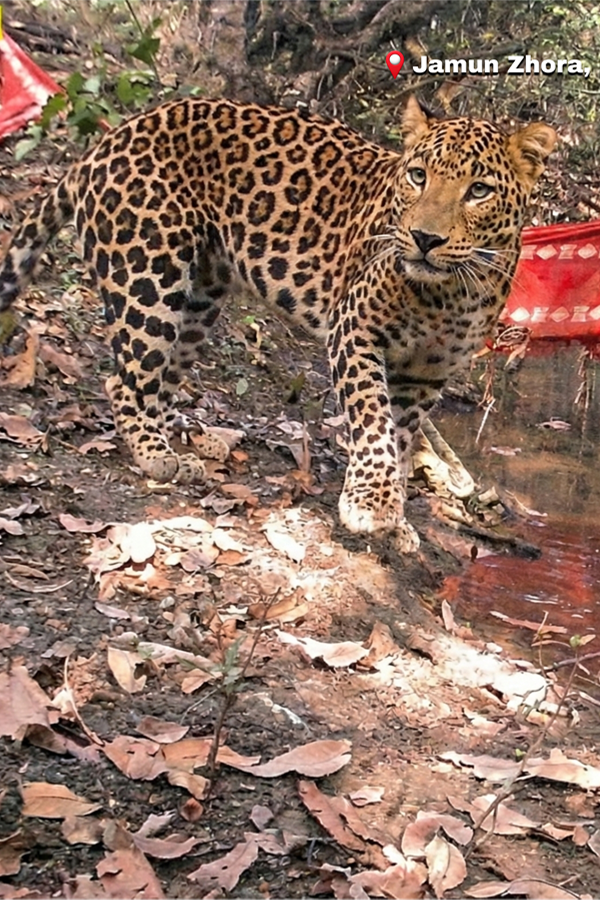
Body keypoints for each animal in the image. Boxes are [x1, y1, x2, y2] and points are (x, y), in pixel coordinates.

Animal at [0, 96, 556, 551]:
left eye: (478, 190)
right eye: (418, 176)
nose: (424, 238)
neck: (451, 293)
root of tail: (105, 141)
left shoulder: (425, 374)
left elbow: (400, 439)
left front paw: (394, 517)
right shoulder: (355, 331)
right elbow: (373, 422)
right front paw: (371, 503)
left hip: (198, 303)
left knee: (161, 378)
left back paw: (183, 450)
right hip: (148, 277)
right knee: (125, 378)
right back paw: (153, 453)